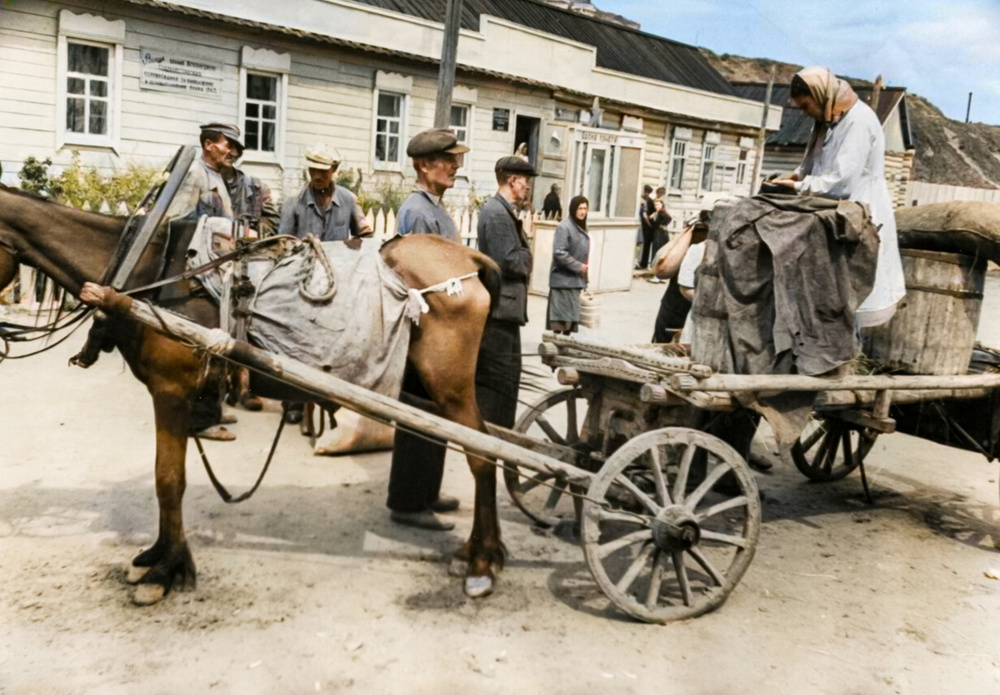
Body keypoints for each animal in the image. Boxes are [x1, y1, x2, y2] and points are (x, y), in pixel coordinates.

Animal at [1, 185, 508, 604]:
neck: (144, 269)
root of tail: (468, 261)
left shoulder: (170, 391)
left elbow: (169, 481)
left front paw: (167, 569)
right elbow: (166, 478)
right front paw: (159, 556)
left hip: (450, 388)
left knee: (484, 457)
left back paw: (481, 562)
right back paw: (480, 549)